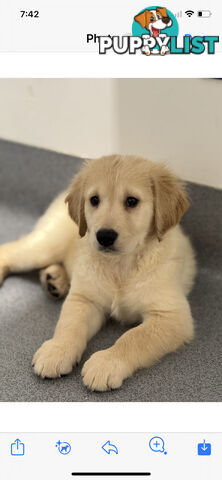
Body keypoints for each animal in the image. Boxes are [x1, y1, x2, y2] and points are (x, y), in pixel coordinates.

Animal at [0, 156, 195, 392]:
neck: (121, 265)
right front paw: (57, 350)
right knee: (10, 250)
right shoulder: (84, 299)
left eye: (132, 201)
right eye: (94, 200)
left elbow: (134, 337)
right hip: (45, 246)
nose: (105, 236)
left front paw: (107, 363)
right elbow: (70, 325)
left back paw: (54, 281)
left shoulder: (171, 316)